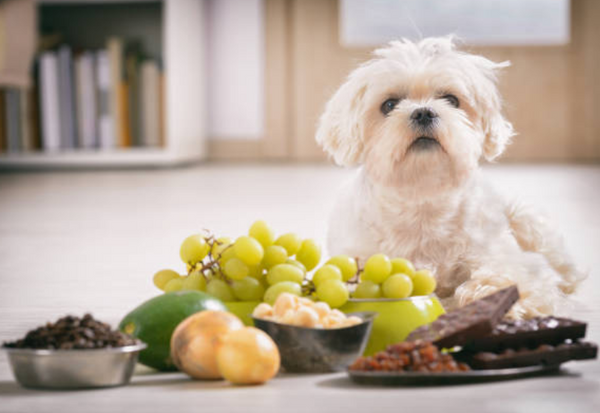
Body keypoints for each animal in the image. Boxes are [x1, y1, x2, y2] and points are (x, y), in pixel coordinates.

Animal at [316, 37, 584, 318]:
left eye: (451, 100)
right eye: (389, 105)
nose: (423, 112)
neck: (423, 196)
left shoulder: (506, 257)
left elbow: (509, 276)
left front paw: (492, 297)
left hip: (527, 222)